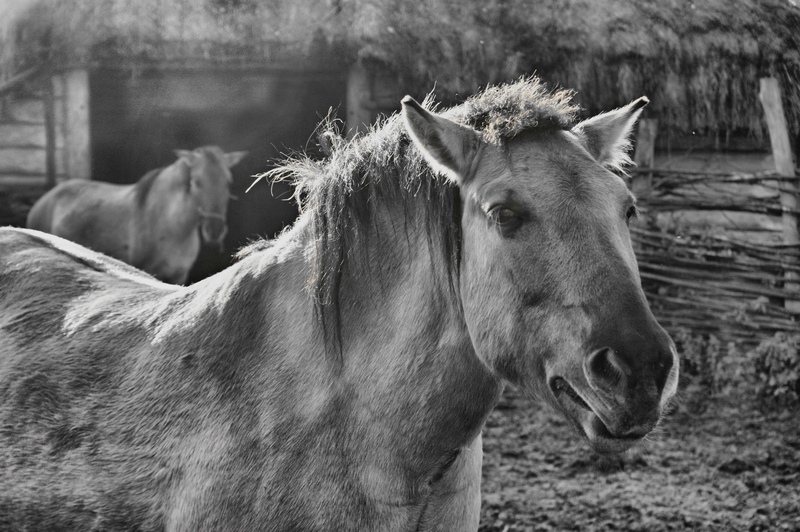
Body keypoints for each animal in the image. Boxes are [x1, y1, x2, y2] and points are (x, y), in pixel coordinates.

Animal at [26, 145, 245, 284]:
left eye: (228, 182)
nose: (215, 230)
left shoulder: (179, 276)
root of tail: (43, 201)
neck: (174, 227)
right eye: (197, 182)